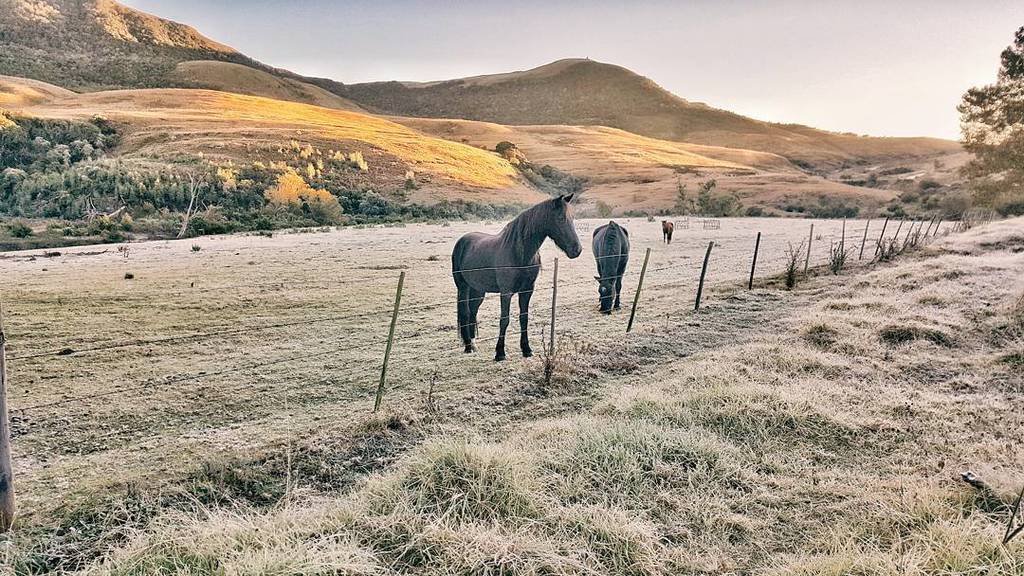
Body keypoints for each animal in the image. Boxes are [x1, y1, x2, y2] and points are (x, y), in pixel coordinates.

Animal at [452, 194, 582, 361]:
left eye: (572, 218)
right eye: (560, 218)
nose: (577, 250)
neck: (519, 252)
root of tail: (462, 241)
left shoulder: (527, 291)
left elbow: (524, 318)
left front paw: (526, 349)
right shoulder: (506, 293)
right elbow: (504, 320)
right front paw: (500, 353)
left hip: (478, 290)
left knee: (473, 312)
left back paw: (473, 345)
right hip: (463, 287)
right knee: (465, 313)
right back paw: (468, 346)